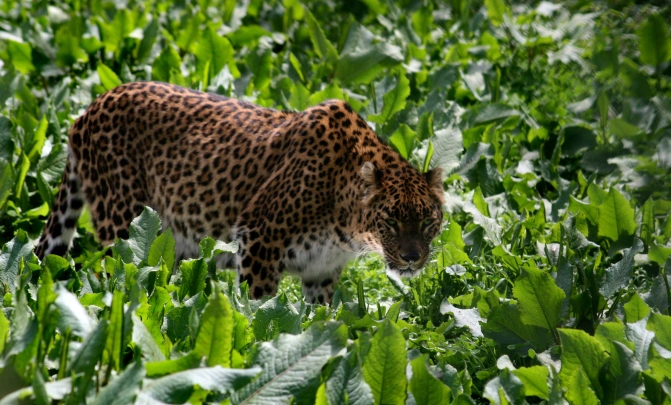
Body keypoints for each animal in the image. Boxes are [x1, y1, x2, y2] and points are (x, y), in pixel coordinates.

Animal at [36, 81, 446, 304]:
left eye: (428, 222)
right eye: (391, 220)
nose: (412, 258)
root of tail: (89, 108)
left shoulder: (322, 272)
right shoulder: (260, 239)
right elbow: (257, 306)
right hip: (122, 227)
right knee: (111, 274)